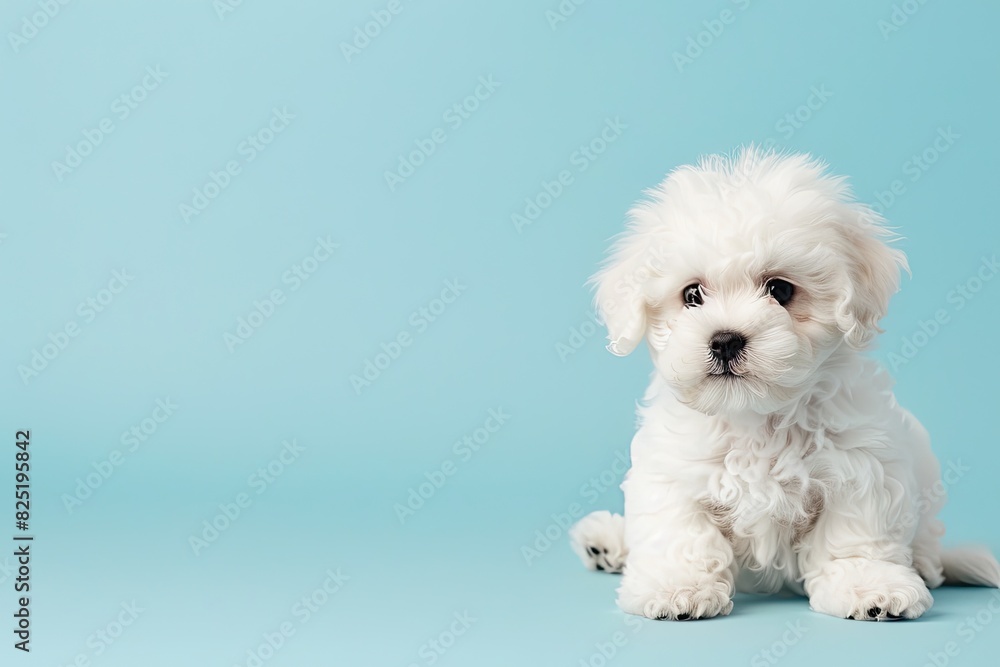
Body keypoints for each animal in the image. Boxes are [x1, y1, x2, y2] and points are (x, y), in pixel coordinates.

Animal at [572, 149, 1000, 624]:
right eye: (692, 295)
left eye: (780, 290)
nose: (724, 340)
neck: (758, 418)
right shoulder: (672, 470)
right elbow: (680, 532)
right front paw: (677, 586)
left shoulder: (861, 464)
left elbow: (854, 534)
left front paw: (868, 584)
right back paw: (606, 542)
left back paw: (923, 563)